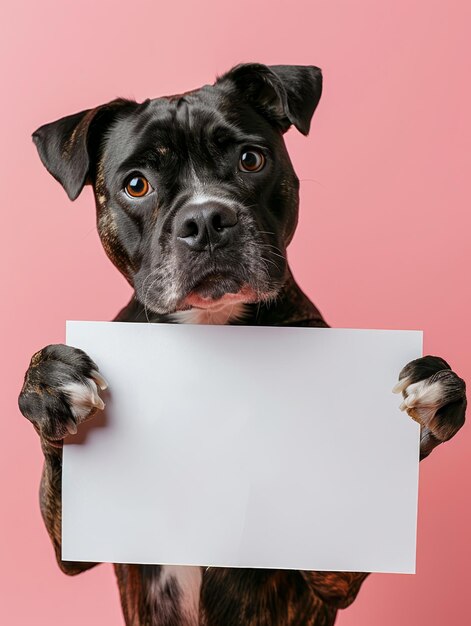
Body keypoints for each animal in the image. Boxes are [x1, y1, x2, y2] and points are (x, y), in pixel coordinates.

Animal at [17, 63, 468, 624]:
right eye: (136, 185)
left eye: (251, 159)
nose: (205, 219)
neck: (214, 326)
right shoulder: (75, 550)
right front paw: (50, 384)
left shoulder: (332, 577)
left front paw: (427, 401)